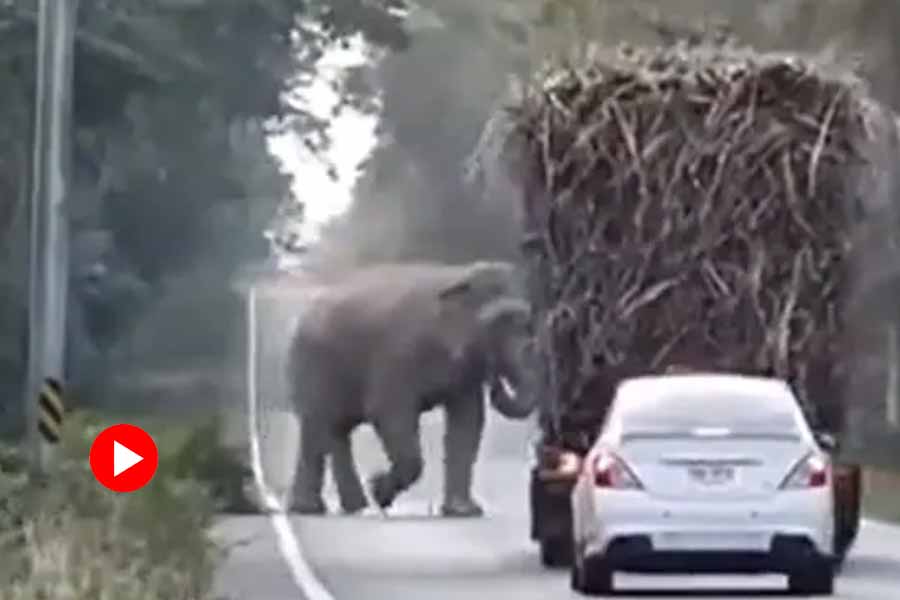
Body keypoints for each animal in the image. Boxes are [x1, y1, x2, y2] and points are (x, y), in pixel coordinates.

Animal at [288, 260, 536, 516]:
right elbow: (389, 413)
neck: (457, 276)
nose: (494, 380)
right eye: (498, 323)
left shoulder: (463, 372)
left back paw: (350, 507)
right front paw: (379, 491)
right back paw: (318, 508)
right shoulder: (398, 356)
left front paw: (463, 511)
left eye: (527, 324)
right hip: (312, 366)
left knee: (334, 432)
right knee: (318, 430)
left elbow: (467, 422)